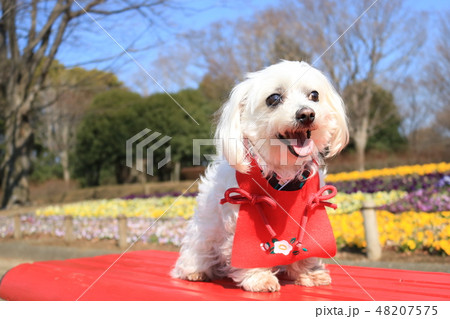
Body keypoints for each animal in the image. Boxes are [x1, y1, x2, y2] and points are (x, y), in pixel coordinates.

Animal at [171, 60, 350, 292]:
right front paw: (258, 278)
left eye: (314, 95)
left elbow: (308, 243)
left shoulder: (311, 206)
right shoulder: (245, 210)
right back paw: (196, 272)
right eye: (273, 98)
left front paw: (309, 273)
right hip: (201, 238)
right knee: (194, 256)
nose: (307, 114)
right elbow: (250, 250)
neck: (284, 171)